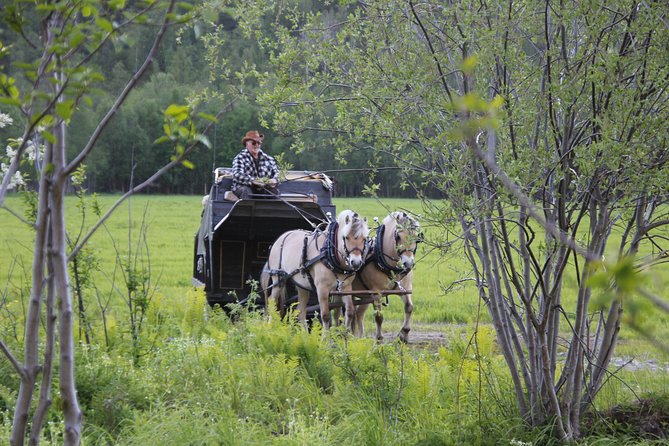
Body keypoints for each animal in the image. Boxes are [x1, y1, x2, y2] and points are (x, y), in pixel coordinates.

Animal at [352, 211, 420, 344]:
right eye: (398, 236)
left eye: (417, 237)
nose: (408, 263)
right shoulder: (376, 293)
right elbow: (379, 317)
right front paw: (379, 339)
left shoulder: (405, 289)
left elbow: (409, 307)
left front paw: (404, 334)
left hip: (364, 295)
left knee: (358, 313)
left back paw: (360, 337)